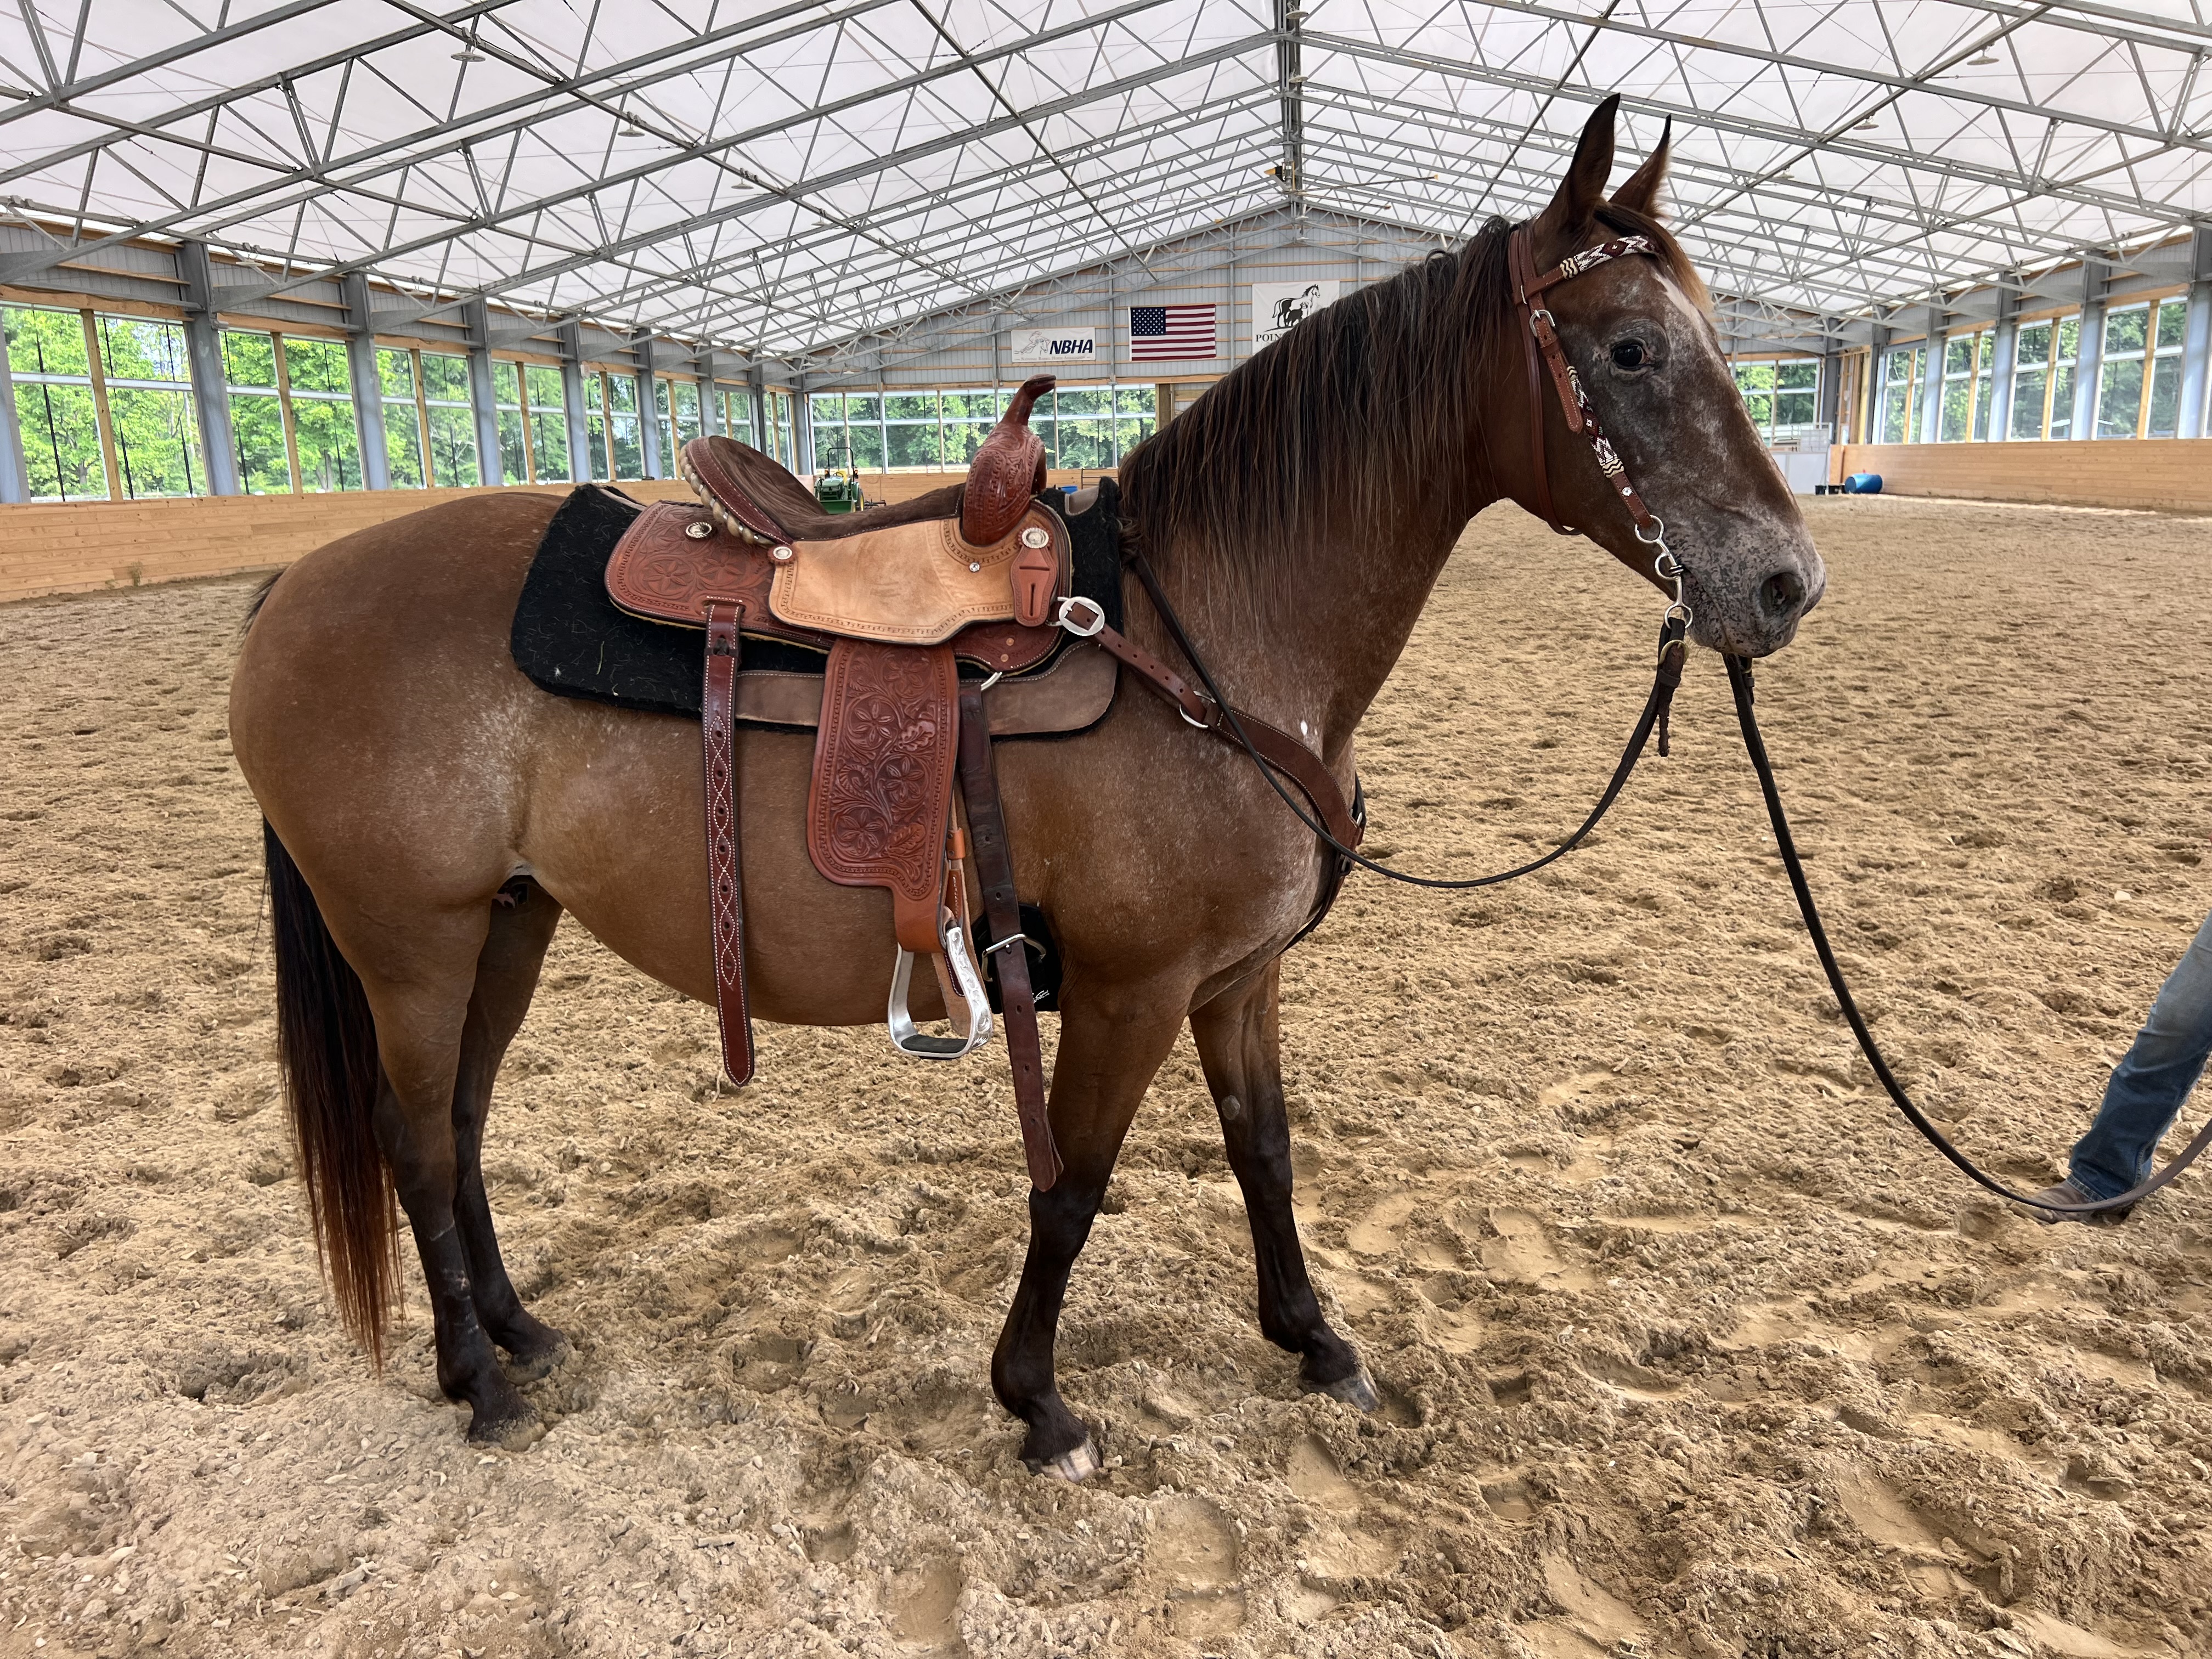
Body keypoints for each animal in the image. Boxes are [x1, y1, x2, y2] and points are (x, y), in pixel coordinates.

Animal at [229, 96, 1823, 1477]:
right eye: (1629, 350)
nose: (1783, 583)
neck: (1211, 641)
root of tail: (293, 586)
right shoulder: (1131, 989)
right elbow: (1074, 1182)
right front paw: (1038, 1401)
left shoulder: (1238, 981)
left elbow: (1265, 1154)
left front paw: (1312, 1340)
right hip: (412, 943)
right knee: (415, 1139)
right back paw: (479, 1384)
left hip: (509, 922)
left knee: (462, 1126)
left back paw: (517, 1333)